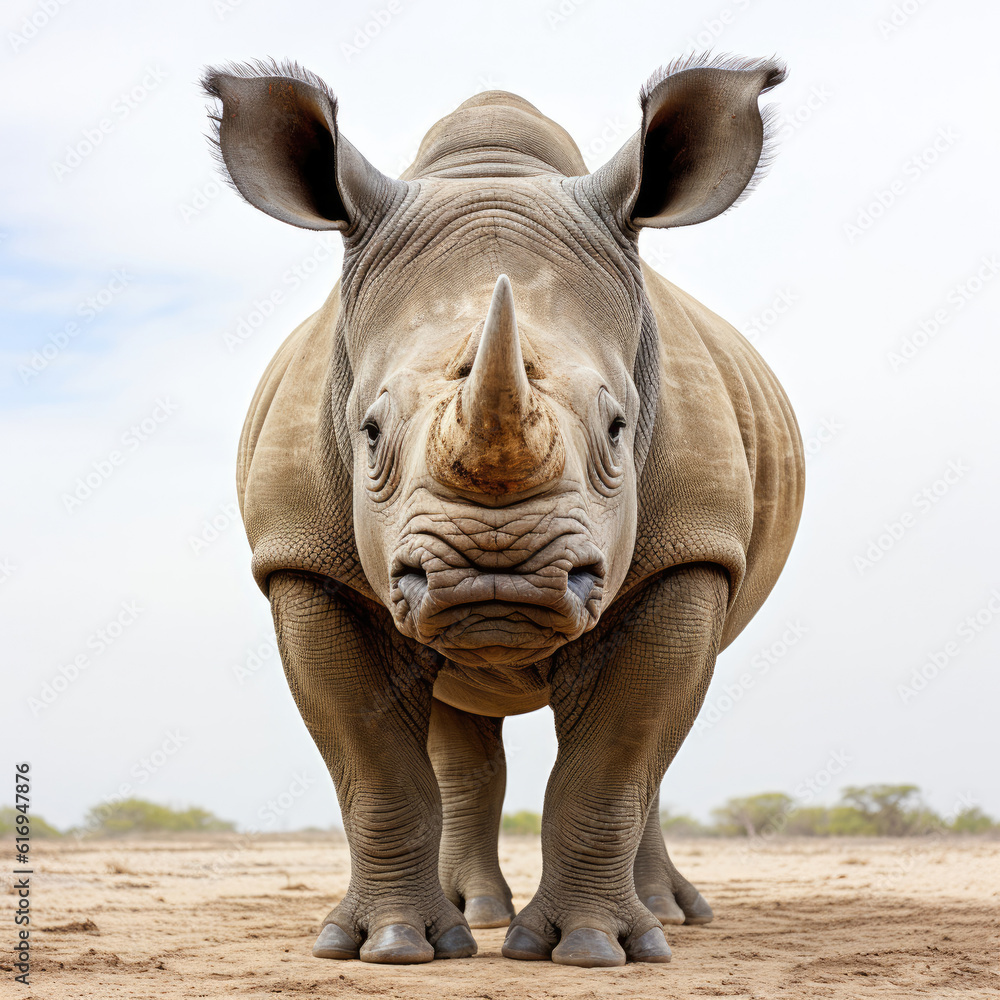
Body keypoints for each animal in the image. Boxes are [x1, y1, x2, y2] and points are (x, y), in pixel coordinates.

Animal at [202, 53, 804, 969]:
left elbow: (615, 759)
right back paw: (473, 917)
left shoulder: (690, 551)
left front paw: (592, 949)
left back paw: (667, 917)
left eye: (619, 427)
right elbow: (375, 765)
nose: (498, 578)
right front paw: (386, 946)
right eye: (368, 431)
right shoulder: (304, 561)